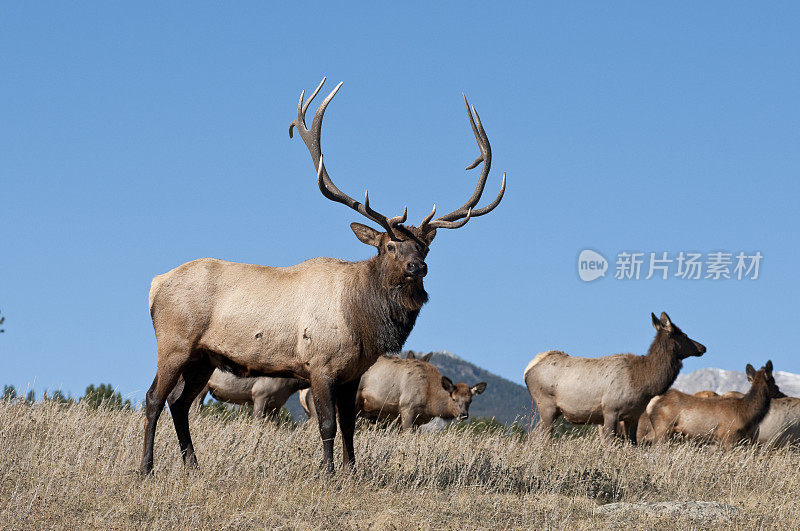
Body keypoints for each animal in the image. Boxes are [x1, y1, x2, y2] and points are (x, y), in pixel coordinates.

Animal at [142, 77, 506, 476]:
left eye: (424, 249)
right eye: (389, 246)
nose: (417, 268)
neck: (363, 320)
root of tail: (155, 285)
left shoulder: (353, 374)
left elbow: (349, 425)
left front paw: (351, 472)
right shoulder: (319, 365)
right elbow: (328, 424)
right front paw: (329, 474)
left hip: (203, 358)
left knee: (179, 403)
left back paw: (193, 464)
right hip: (175, 344)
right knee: (154, 398)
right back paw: (145, 467)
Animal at [524, 312, 708, 444]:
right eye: (684, 335)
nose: (703, 347)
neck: (643, 383)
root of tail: (528, 368)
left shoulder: (633, 416)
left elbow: (633, 444)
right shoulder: (610, 410)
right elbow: (609, 443)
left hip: (553, 411)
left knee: (535, 434)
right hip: (546, 404)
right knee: (541, 436)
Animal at [648, 362, 784, 448]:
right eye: (774, 382)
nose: (782, 393)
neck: (745, 413)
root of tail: (652, 404)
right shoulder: (728, 435)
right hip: (663, 428)